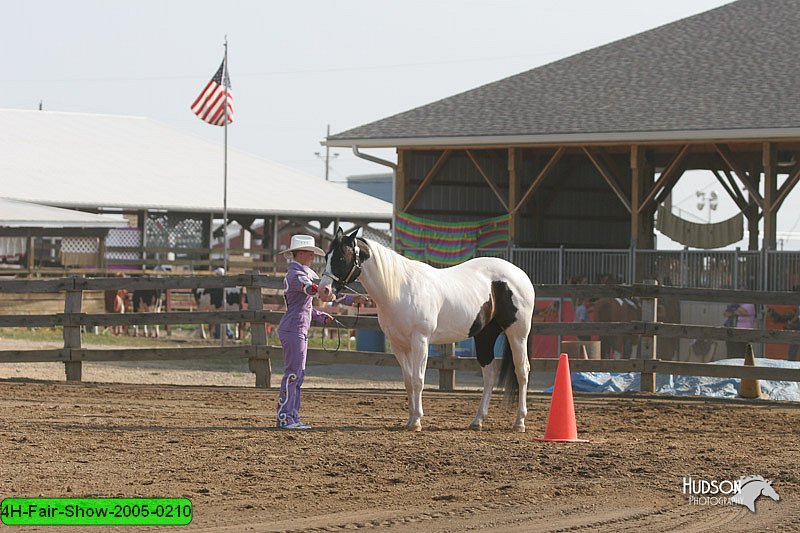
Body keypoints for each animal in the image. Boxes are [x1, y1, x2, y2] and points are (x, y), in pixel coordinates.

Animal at [316, 227, 536, 430]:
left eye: (341, 258)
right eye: (326, 256)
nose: (324, 291)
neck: (399, 290)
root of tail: (520, 275)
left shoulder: (420, 341)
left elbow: (418, 380)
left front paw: (416, 422)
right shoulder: (398, 345)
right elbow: (408, 381)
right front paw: (410, 419)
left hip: (517, 334)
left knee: (522, 371)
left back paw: (519, 422)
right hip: (485, 336)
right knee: (489, 375)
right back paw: (477, 420)